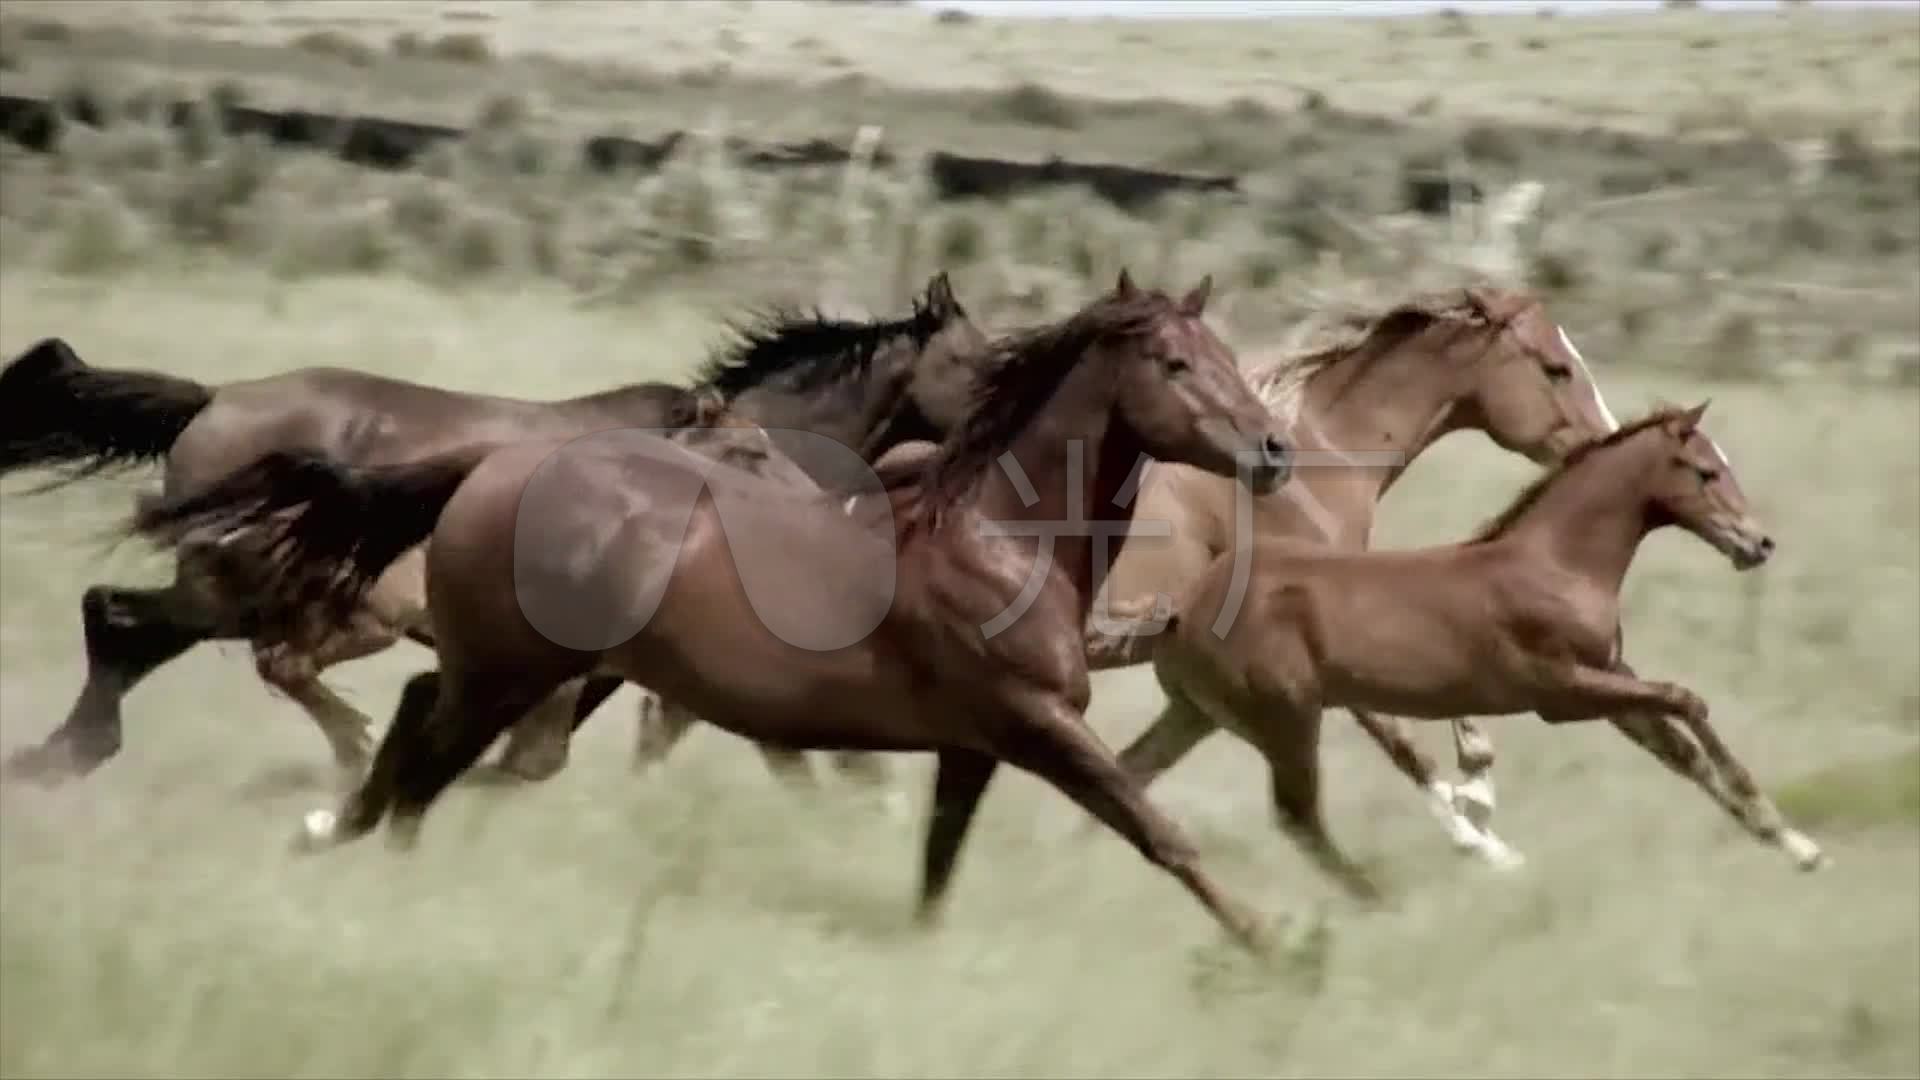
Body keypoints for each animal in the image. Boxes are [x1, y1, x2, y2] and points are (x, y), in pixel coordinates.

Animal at [0, 270, 990, 780]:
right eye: (982, 360)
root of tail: (214, 399)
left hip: (228, 591)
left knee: (119, 621)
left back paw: (67, 754)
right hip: (255, 591)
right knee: (140, 628)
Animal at [135, 270, 1305, 949]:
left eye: (1228, 358)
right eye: (1174, 363)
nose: (1275, 451)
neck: (1001, 539)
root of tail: (487, 466)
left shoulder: (976, 744)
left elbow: (935, 865)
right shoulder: (1037, 723)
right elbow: (1162, 833)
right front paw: (1281, 946)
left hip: (503, 665)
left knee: (415, 721)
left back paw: (336, 828)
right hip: (510, 667)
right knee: (423, 751)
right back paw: (372, 855)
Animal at [1144, 399, 1820, 895]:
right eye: (1705, 472)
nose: (1758, 543)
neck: (1556, 562)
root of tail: (1184, 610)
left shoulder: (1611, 678)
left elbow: (1683, 752)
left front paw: (1797, 847)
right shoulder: (1564, 692)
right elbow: (1687, 700)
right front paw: (1776, 821)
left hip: (1204, 716)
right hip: (1286, 721)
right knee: (1297, 817)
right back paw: (1382, 903)